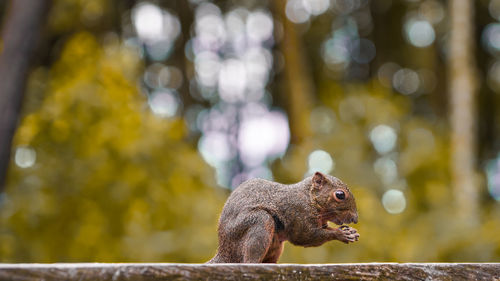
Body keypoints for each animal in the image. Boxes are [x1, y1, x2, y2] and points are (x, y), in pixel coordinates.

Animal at [207, 171, 360, 262]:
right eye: (340, 195)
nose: (355, 219)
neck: (309, 198)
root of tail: (224, 252)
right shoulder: (298, 213)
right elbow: (306, 236)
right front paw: (341, 234)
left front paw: (350, 231)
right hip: (259, 222)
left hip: (275, 246)